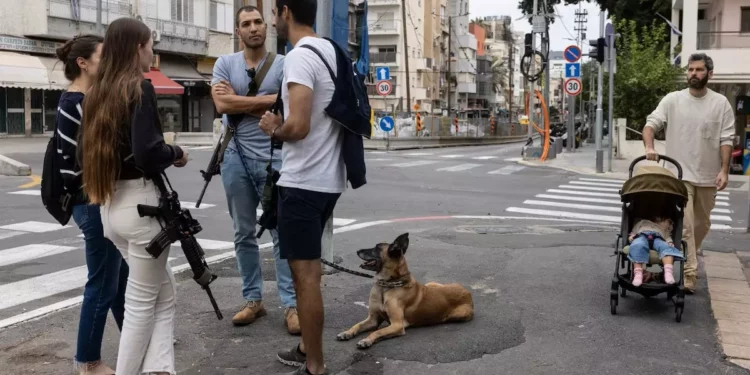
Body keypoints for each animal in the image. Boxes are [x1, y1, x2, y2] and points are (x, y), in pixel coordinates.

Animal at [336, 234, 476, 352]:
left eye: (376, 248)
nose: (357, 250)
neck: (387, 285)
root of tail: (467, 292)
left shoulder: (397, 325)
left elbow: (377, 332)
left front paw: (366, 340)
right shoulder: (373, 319)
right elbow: (357, 325)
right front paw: (347, 332)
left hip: (459, 314)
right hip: (431, 283)